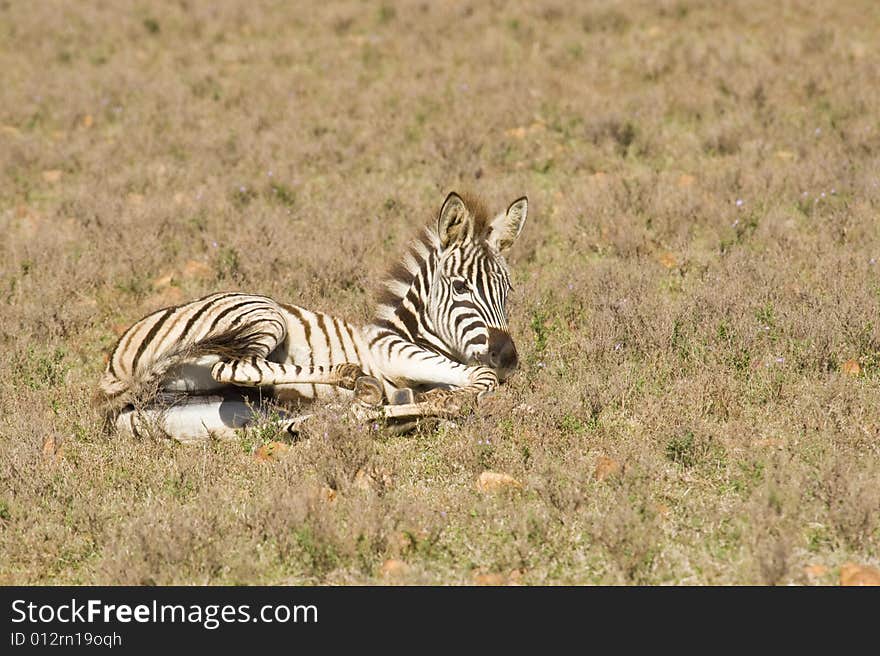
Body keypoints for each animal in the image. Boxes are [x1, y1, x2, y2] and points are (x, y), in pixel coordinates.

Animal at [93, 192, 524, 444]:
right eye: (460, 288)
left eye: (508, 291)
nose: (508, 358)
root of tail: (115, 370)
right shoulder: (391, 351)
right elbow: (481, 380)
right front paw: (456, 394)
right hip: (260, 313)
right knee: (236, 366)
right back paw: (351, 380)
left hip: (210, 416)